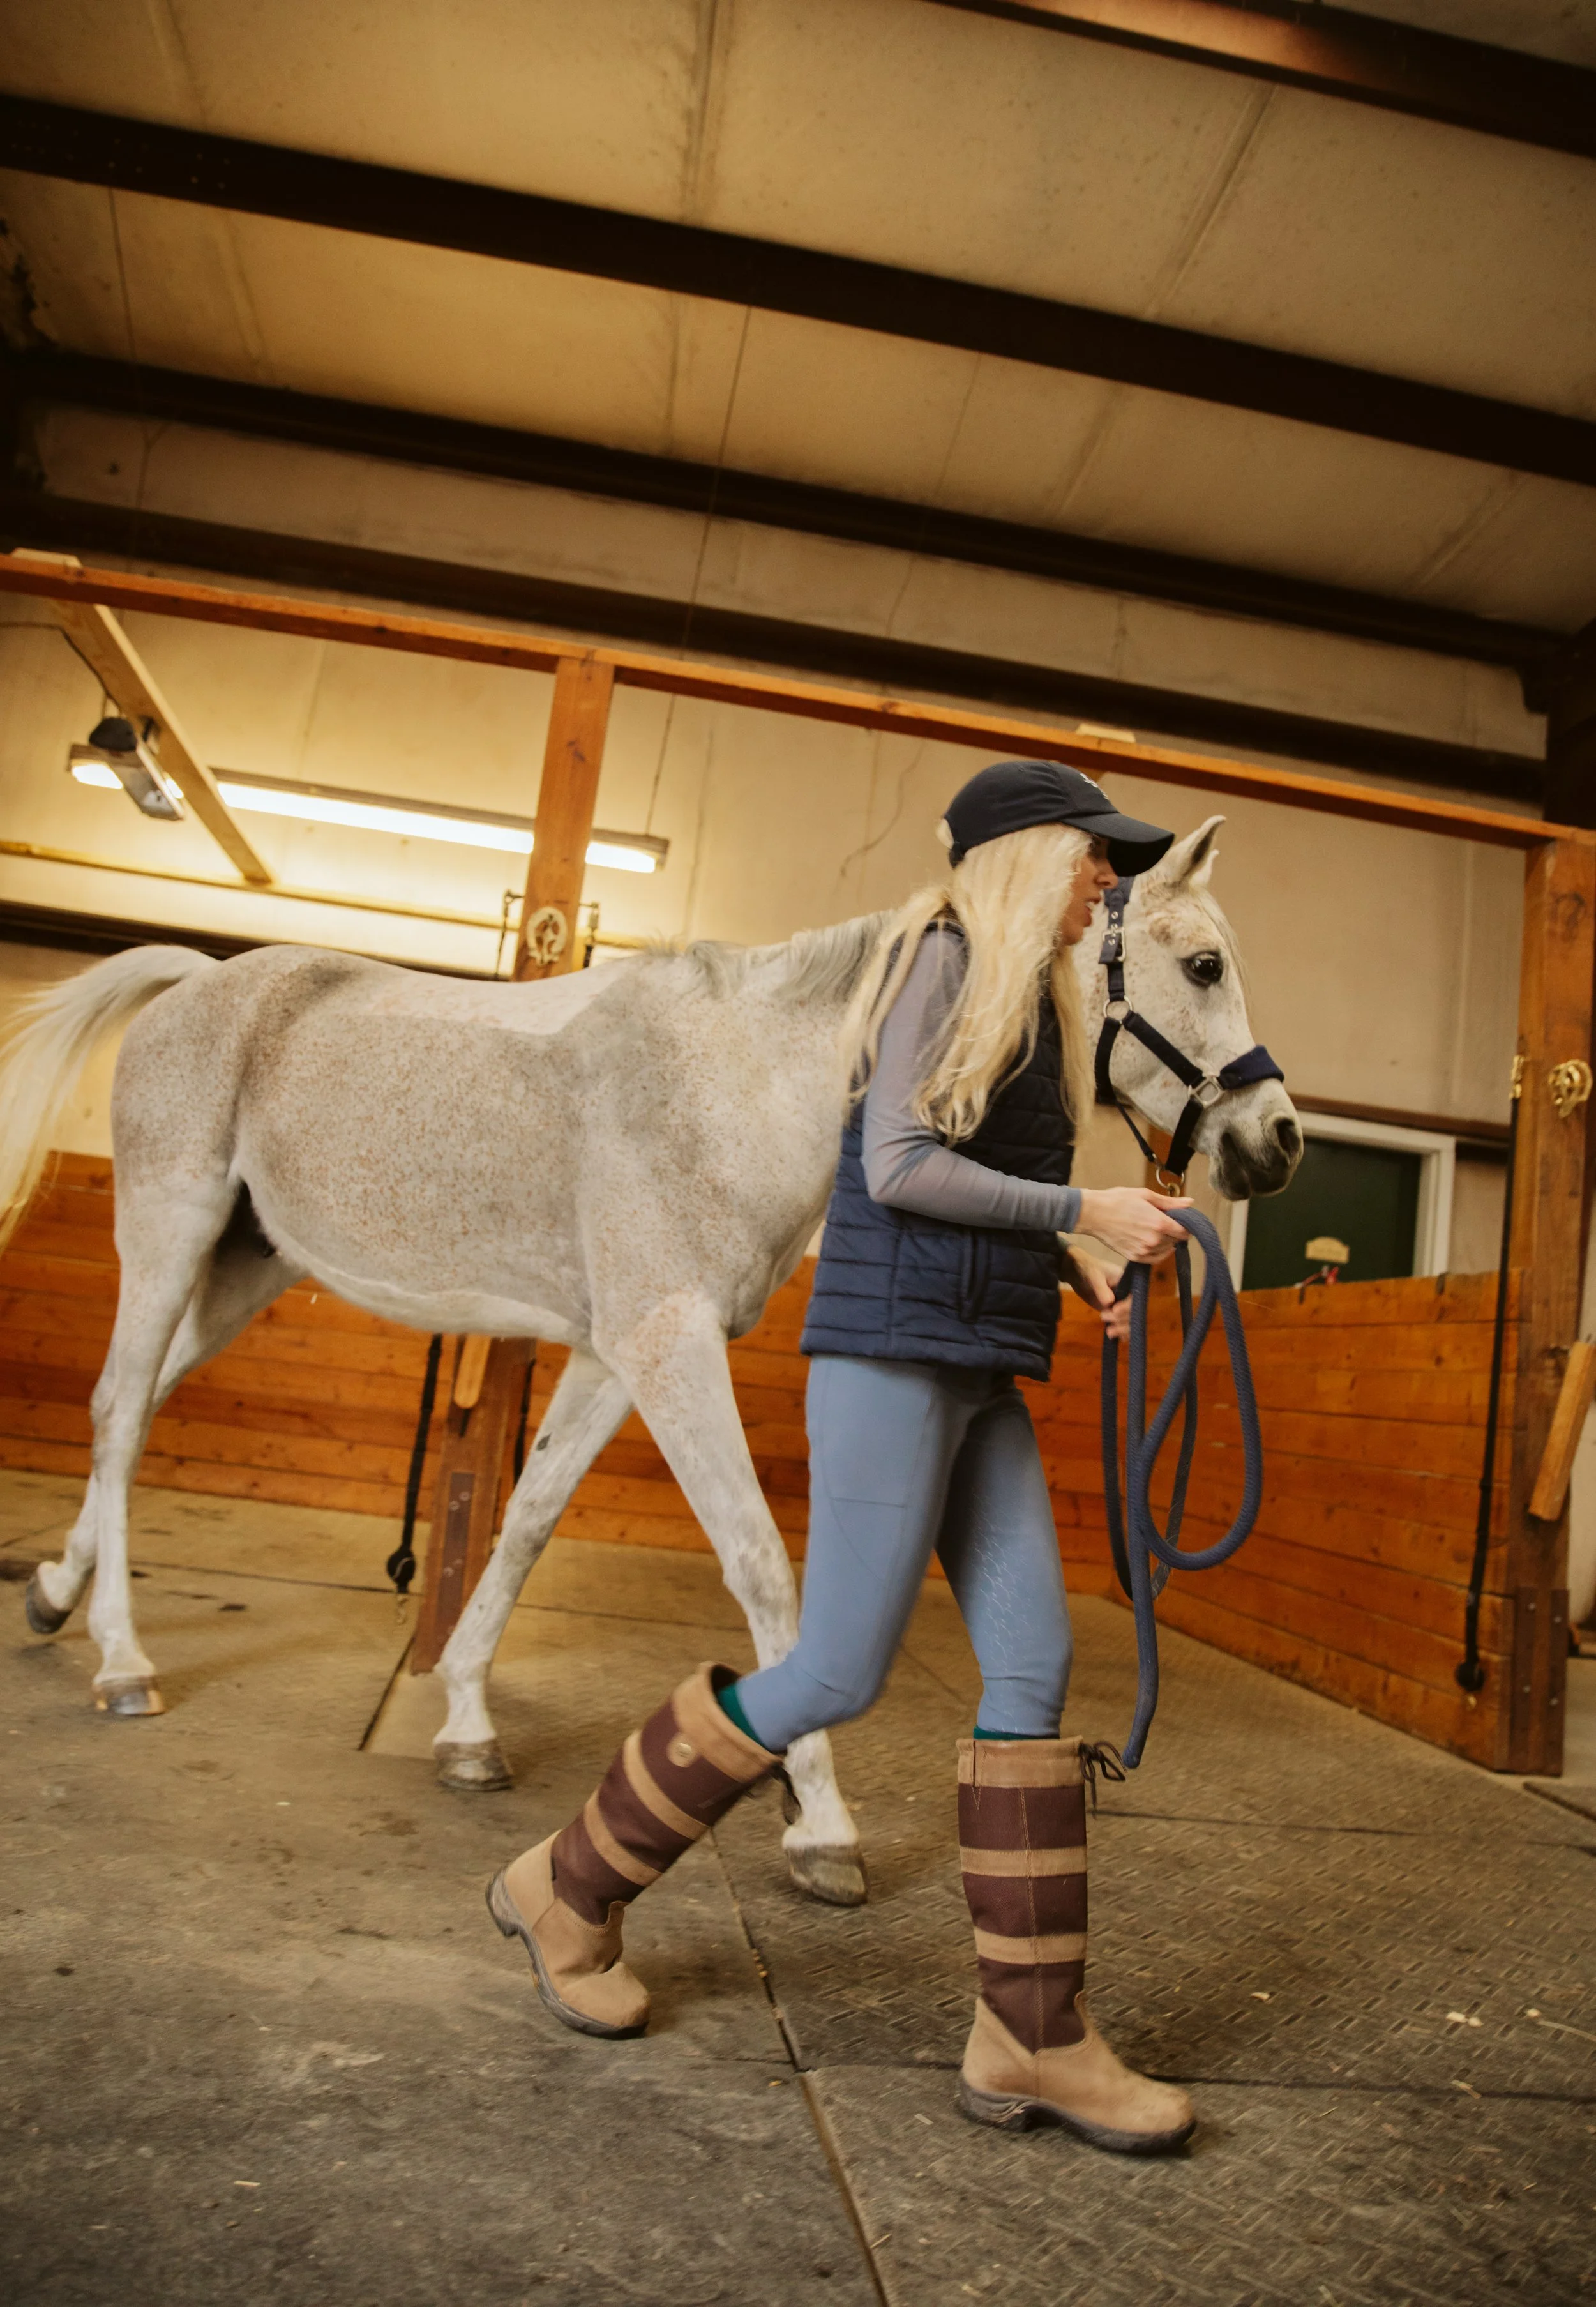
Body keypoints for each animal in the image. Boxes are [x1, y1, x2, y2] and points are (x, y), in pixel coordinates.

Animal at [0, 813, 1298, 1906]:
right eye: (1201, 965)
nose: (1275, 1141)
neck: (739, 1080)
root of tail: (200, 978)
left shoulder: (613, 1353)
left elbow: (527, 1516)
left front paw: (465, 1723)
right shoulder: (667, 1344)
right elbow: (764, 1567)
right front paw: (821, 1823)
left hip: (244, 1265)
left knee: (142, 1411)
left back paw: (57, 1595)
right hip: (169, 1231)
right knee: (117, 1411)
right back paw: (122, 1660)